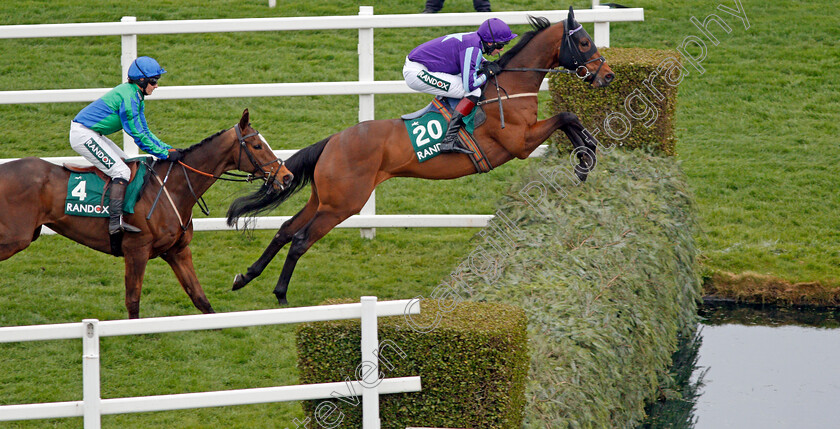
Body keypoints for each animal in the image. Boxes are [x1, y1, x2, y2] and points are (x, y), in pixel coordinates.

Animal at [0, 109, 292, 318]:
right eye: (257, 146)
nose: (286, 176)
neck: (171, 190)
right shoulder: (136, 250)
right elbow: (133, 300)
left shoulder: (178, 251)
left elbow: (200, 298)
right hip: (16, 237)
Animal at [226, 10, 612, 304]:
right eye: (584, 43)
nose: (607, 75)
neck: (509, 89)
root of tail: (333, 141)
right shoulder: (519, 142)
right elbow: (566, 117)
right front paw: (585, 158)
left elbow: (569, 120)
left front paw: (586, 157)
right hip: (343, 204)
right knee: (301, 239)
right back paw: (280, 294)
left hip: (324, 198)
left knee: (285, 230)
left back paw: (246, 276)